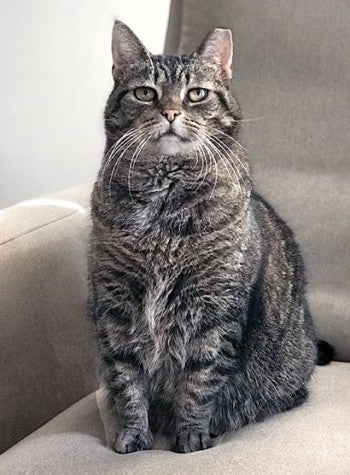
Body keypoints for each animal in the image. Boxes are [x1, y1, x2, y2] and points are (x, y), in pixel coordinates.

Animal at [88, 21, 334, 454]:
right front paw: (133, 434)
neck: (163, 211)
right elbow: (125, 379)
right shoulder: (114, 306)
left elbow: (199, 381)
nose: (170, 112)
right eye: (145, 93)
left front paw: (191, 435)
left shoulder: (215, 311)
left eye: (196, 94)